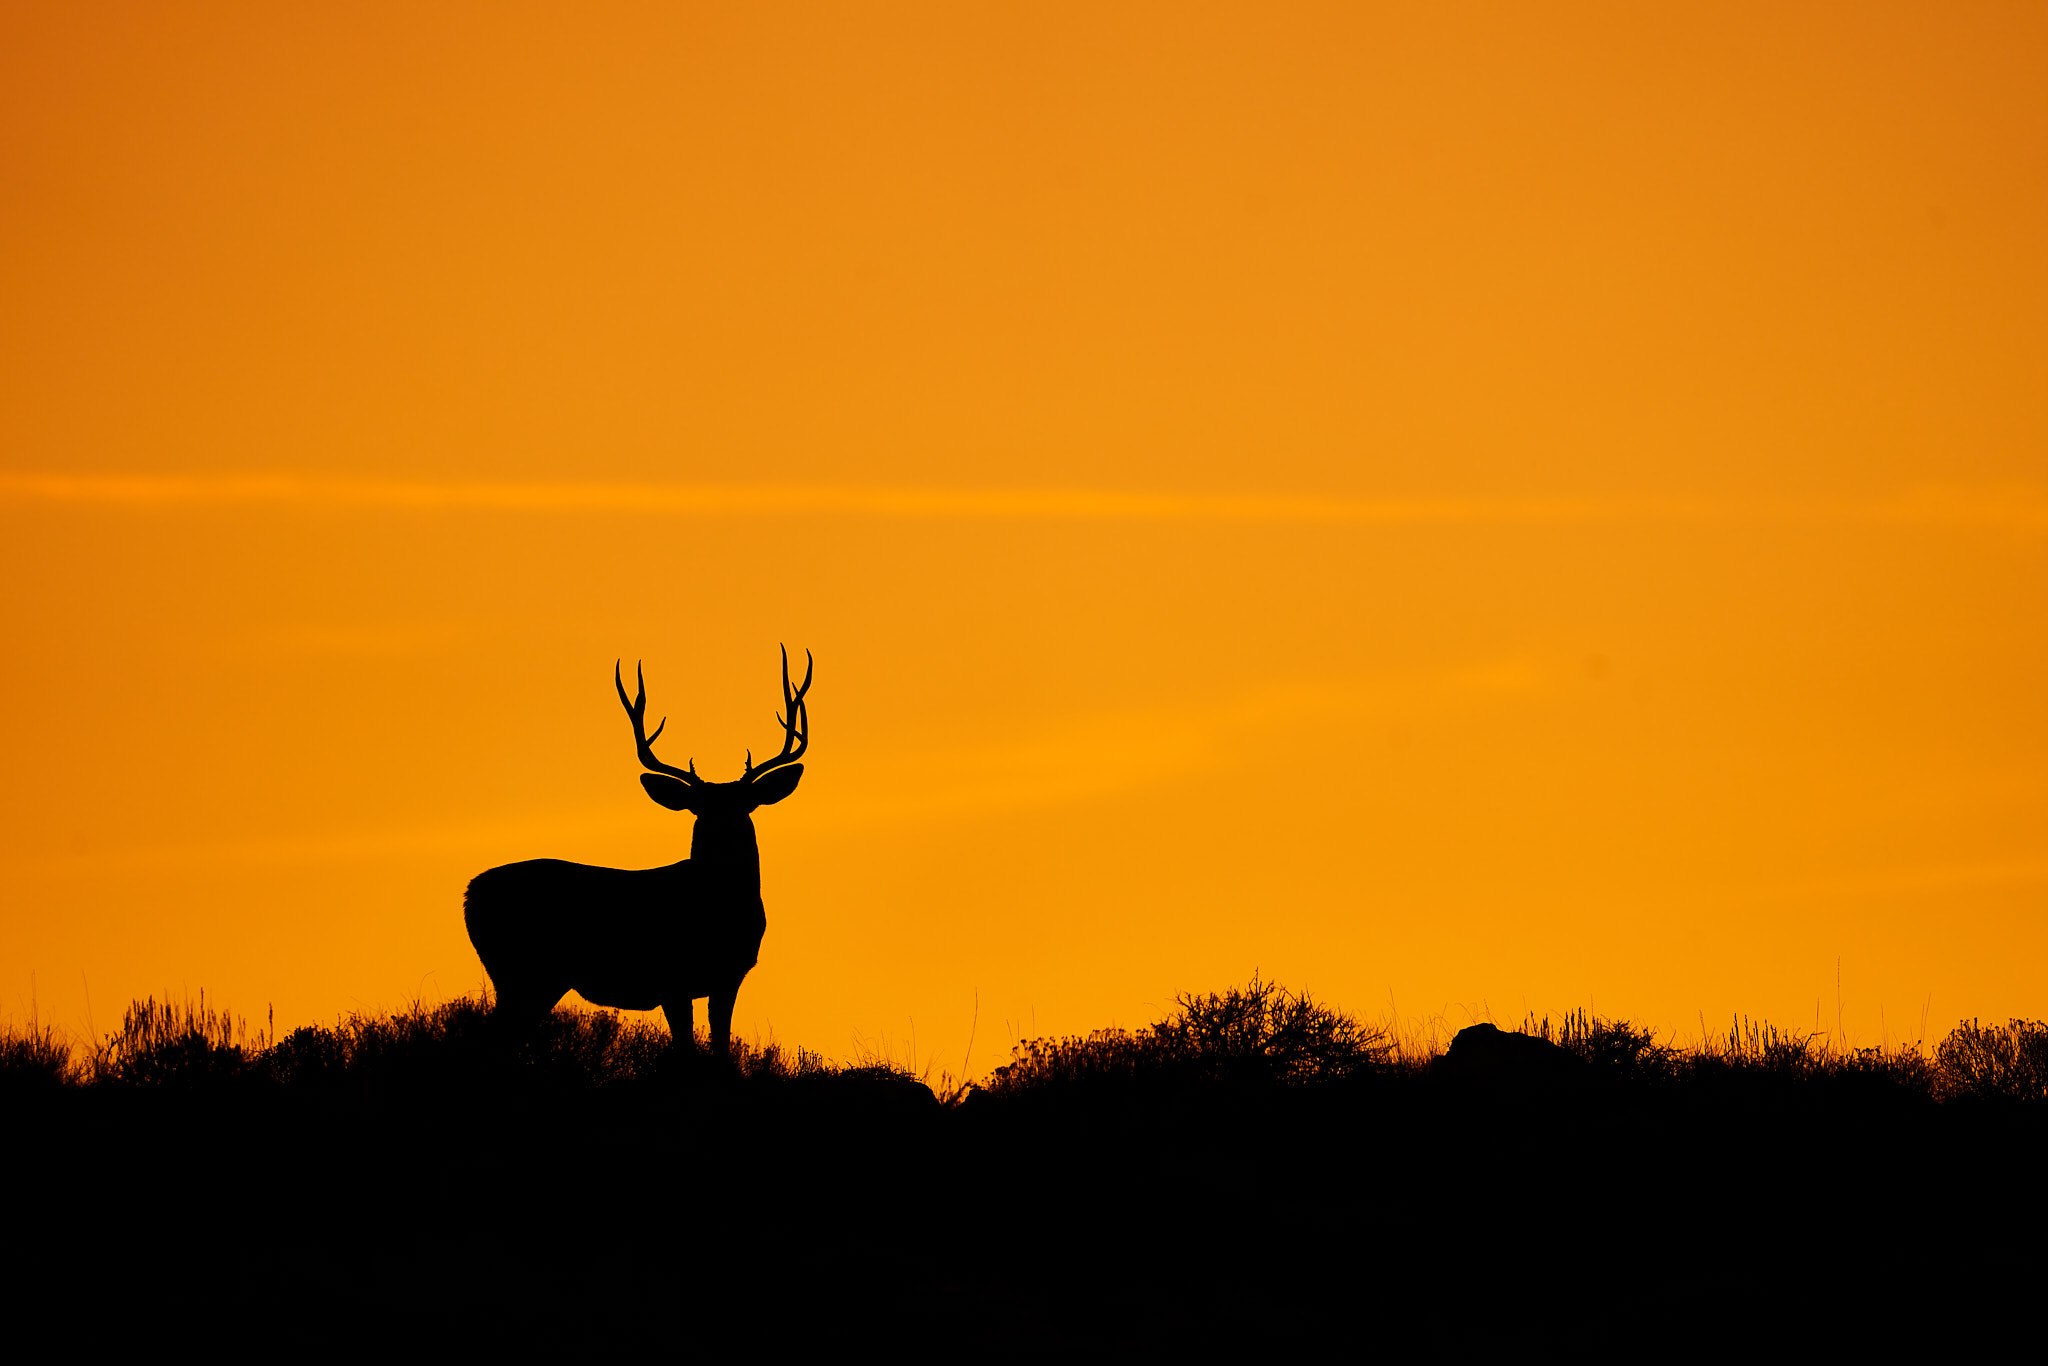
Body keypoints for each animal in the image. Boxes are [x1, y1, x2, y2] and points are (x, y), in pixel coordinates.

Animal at [463, 647, 812, 1070]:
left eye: (745, 805)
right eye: (700, 809)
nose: (723, 834)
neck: (717, 909)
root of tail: (469, 892)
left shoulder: (728, 976)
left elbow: (721, 1046)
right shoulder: (671, 977)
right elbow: (686, 1049)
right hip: (522, 970)